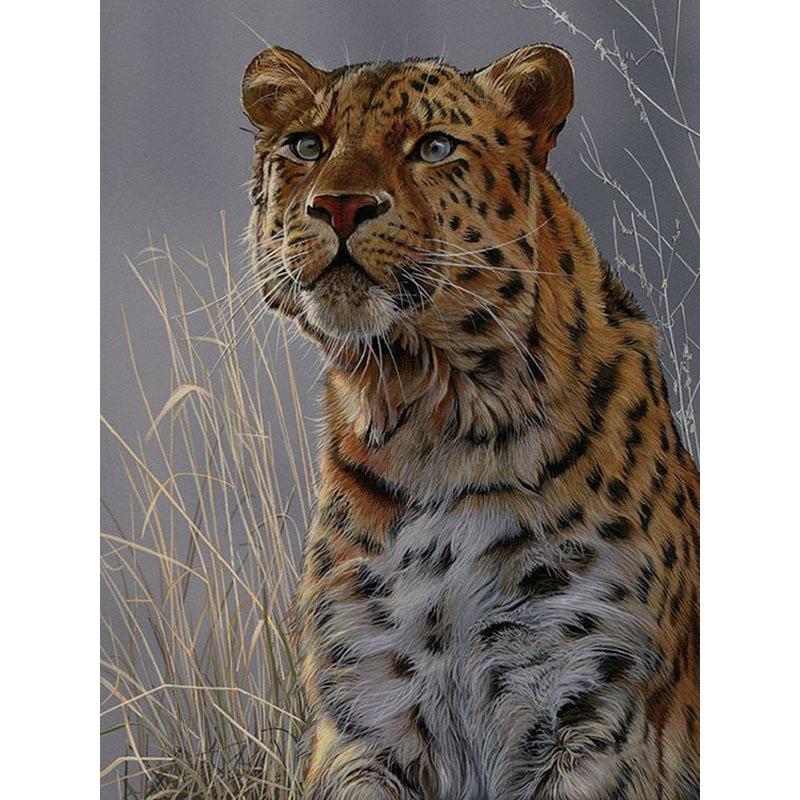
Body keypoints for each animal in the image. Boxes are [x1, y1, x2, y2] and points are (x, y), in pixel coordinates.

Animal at [241, 43, 699, 800]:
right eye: (308, 146)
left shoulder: (595, 705)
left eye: (434, 146)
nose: (340, 205)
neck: (433, 422)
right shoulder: (366, 710)